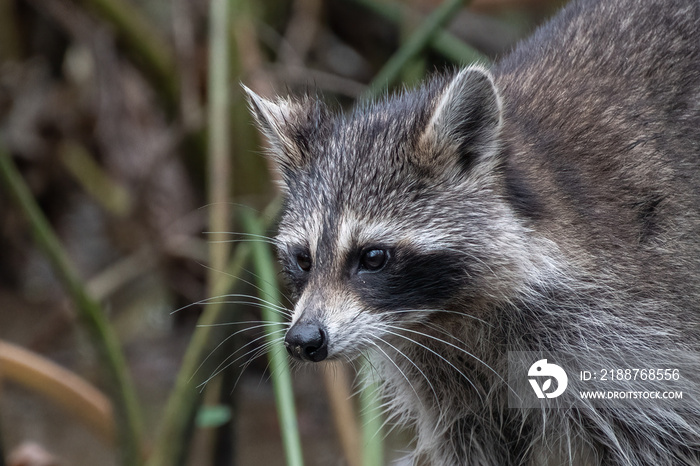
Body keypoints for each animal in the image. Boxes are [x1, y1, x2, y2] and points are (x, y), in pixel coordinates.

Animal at [243, 0, 700, 464]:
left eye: (372, 257)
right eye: (303, 259)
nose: (303, 339)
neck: (445, 316)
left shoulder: (631, 334)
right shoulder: (449, 387)